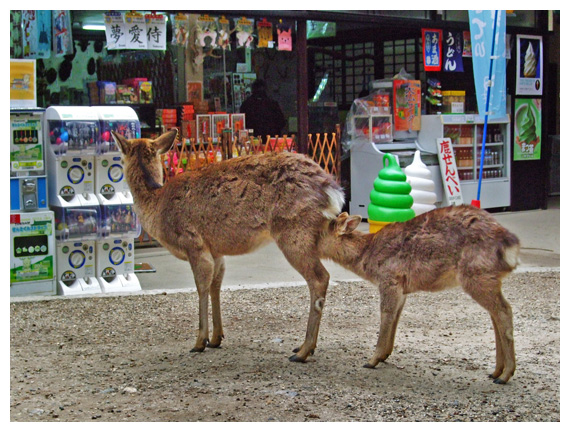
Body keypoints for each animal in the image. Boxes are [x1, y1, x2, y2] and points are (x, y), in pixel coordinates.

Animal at [111, 129, 342, 362]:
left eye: (120, 156)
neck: (156, 206)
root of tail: (332, 189)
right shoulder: (216, 251)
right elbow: (216, 285)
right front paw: (216, 339)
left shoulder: (193, 243)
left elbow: (201, 287)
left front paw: (199, 342)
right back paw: (303, 347)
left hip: (294, 231)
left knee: (320, 277)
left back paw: (303, 350)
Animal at [320, 208, 520, 384]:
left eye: (321, 231)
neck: (367, 258)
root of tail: (511, 246)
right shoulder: (403, 289)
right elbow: (396, 317)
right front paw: (385, 355)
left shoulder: (389, 279)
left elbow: (386, 314)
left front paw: (372, 360)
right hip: (488, 278)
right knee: (495, 314)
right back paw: (496, 371)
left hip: (477, 275)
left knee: (504, 310)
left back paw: (505, 375)